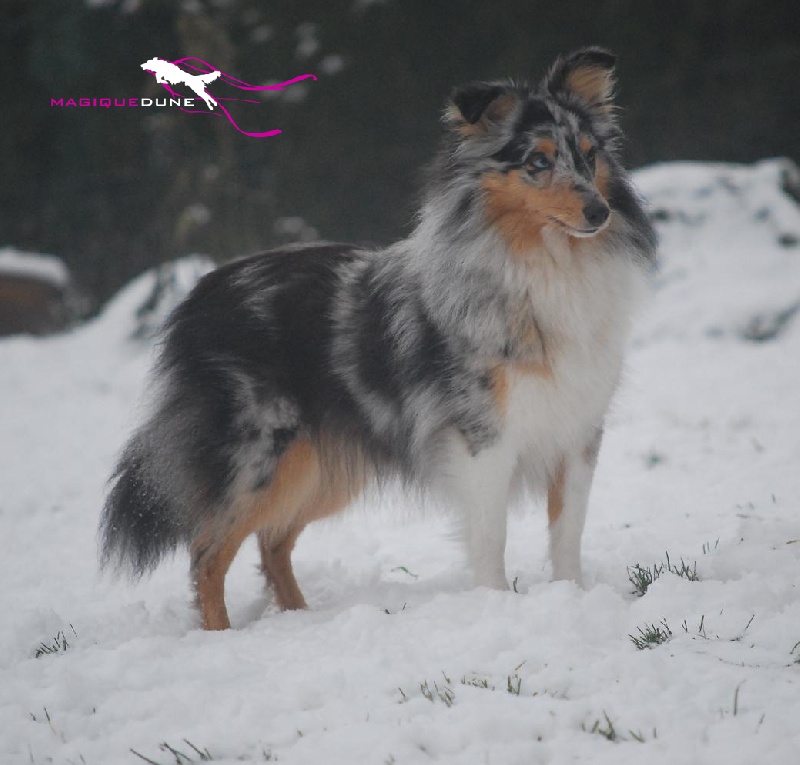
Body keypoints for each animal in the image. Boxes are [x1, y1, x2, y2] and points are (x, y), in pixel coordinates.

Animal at [101, 47, 656, 628]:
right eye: (538, 163)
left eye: (590, 155)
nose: (599, 212)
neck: (546, 264)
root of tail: (198, 296)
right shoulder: (483, 438)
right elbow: (491, 537)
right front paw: (496, 605)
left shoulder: (579, 432)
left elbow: (568, 531)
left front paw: (574, 596)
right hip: (260, 455)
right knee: (207, 551)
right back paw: (222, 636)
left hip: (319, 469)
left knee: (272, 543)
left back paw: (301, 619)